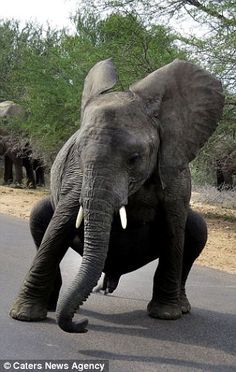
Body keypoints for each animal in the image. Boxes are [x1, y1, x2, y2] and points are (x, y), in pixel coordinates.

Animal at [8, 58, 223, 334]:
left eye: (134, 159)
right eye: (78, 151)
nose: (83, 324)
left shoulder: (175, 171)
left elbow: (174, 232)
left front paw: (166, 315)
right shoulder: (76, 174)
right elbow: (57, 230)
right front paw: (24, 316)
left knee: (196, 229)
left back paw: (182, 307)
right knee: (39, 216)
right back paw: (51, 305)